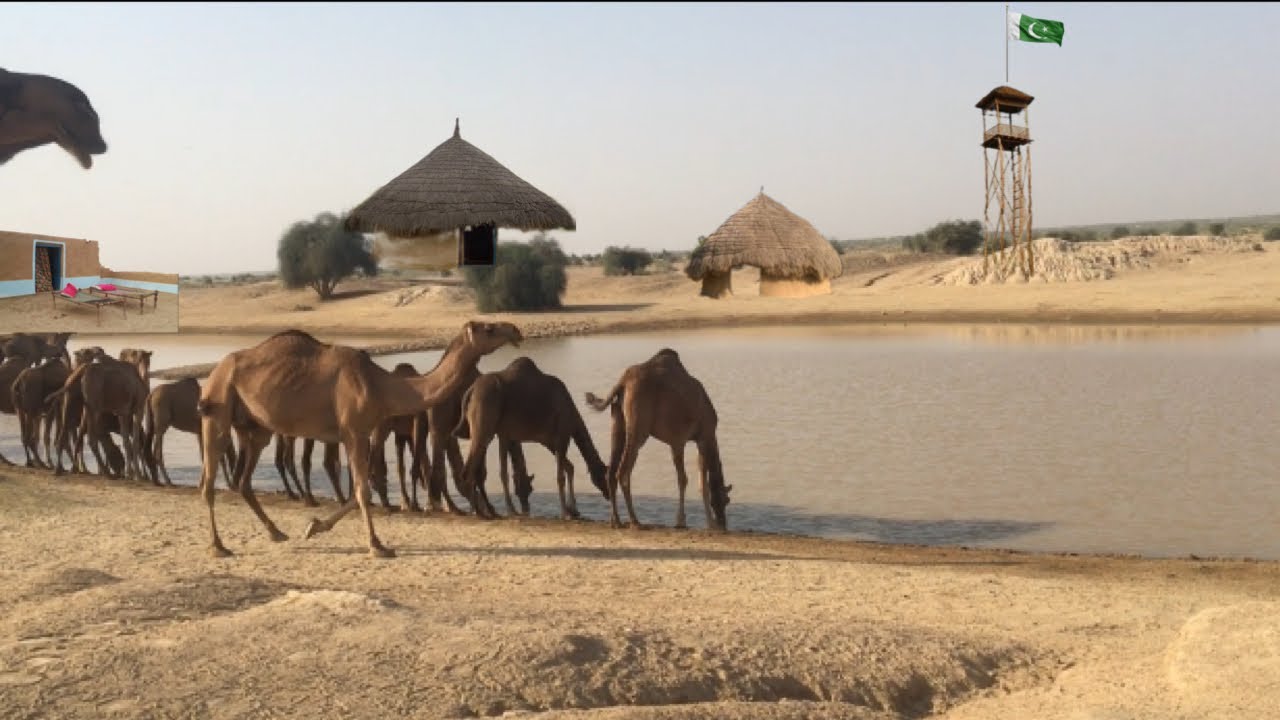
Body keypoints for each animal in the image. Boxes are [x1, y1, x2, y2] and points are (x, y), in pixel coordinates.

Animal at [196, 321, 523, 558]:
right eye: (489, 329)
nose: (515, 329)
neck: (381, 385)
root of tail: (214, 372)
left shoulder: (359, 433)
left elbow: (361, 488)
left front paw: (314, 527)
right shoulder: (354, 431)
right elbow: (364, 490)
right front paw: (378, 546)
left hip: (255, 428)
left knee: (244, 479)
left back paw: (276, 533)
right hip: (218, 408)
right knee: (208, 483)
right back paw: (218, 547)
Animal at [455, 357, 608, 520]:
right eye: (604, 474)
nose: (608, 494)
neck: (573, 415)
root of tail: (471, 390)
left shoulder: (541, 440)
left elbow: (568, 467)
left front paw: (574, 510)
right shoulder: (562, 434)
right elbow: (560, 476)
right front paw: (566, 513)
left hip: (485, 431)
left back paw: (484, 511)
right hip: (484, 427)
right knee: (470, 469)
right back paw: (481, 513)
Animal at [584, 348, 732, 532]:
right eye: (726, 500)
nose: (723, 524)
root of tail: (623, 382)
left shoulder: (693, 440)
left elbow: (698, 483)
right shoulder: (689, 439)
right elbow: (685, 480)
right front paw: (684, 522)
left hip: (618, 424)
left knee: (611, 471)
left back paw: (616, 521)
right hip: (639, 429)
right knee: (623, 471)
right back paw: (635, 521)